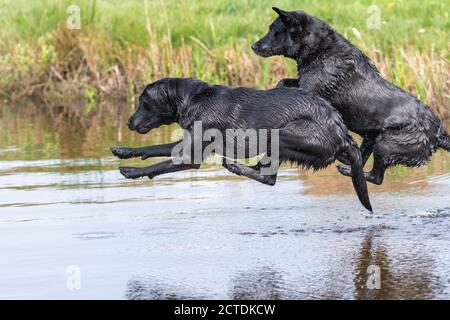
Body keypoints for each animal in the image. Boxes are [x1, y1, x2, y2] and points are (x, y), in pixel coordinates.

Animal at [110, 77, 370, 211]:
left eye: (143, 102)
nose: (129, 122)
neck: (195, 100)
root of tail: (341, 132)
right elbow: (153, 149)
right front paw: (123, 151)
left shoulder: (192, 157)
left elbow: (158, 165)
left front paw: (131, 172)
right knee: (263, 170)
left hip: (282, 133)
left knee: (268, 177)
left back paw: (234, 166)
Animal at [253, 6, 450, 185]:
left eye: (273, 30)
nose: (253, 46)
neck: (322, 49)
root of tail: (438, 130)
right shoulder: (302, 82)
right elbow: (283, 82)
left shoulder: (310, 89)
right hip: (372, 138)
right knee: (360, 159)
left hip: (386, 144)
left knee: (375, 176)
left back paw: (345, 168)